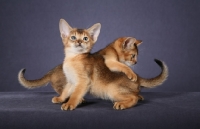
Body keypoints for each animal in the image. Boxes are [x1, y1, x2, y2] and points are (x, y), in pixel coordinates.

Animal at [37, 18, 167, 110]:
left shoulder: (83, 81)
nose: (79, 42)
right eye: (73, 37)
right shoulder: (71, 82)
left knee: (133, 97)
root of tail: (139, 78)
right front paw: (61, 99)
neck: (73, 58)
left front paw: (70, 104)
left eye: (85, 39)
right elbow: (66, 91)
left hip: (112, 90)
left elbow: (75, 94)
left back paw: (122, 104)